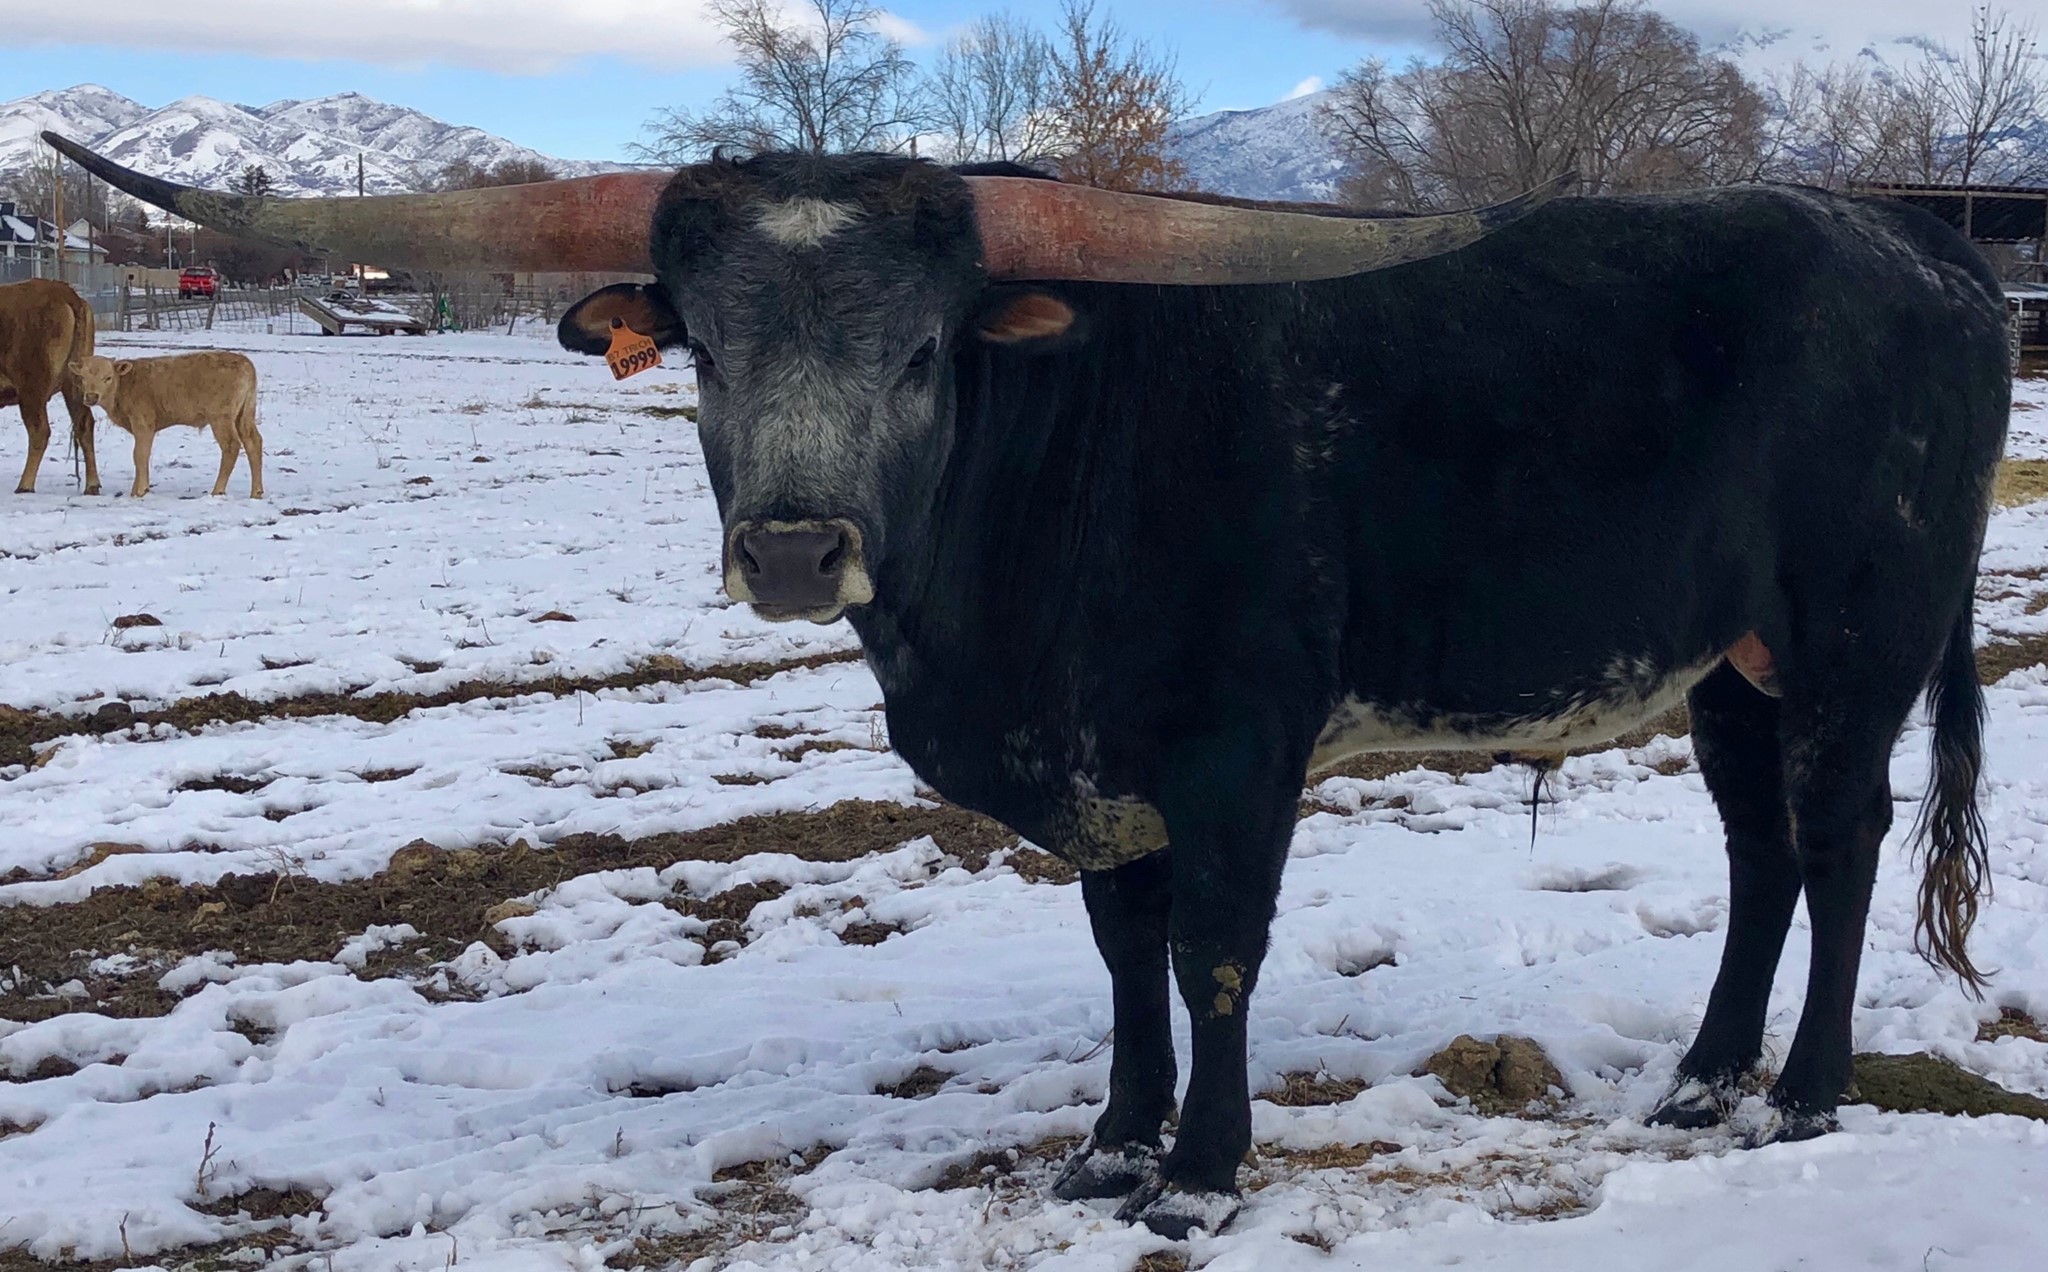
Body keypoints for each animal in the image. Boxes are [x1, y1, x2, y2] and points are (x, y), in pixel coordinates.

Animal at [0, 277, 101, 494]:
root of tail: (65, 293)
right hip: (74, 384)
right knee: (84, 424)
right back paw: (91, 485)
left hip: (32, 391)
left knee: (40, 431)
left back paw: (25, 485)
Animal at [71, 352, 264, 498]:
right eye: (82, 378)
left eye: (108, 378)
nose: (91, 396)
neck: (125, 384)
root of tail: (244, 361)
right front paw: (136, 489)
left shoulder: (144, 424)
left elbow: (139, 454)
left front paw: (139, 491)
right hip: (244, 415)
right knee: (253, 442)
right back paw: (256, 492)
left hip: (221, 418)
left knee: (231, 446)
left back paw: (217, 490)